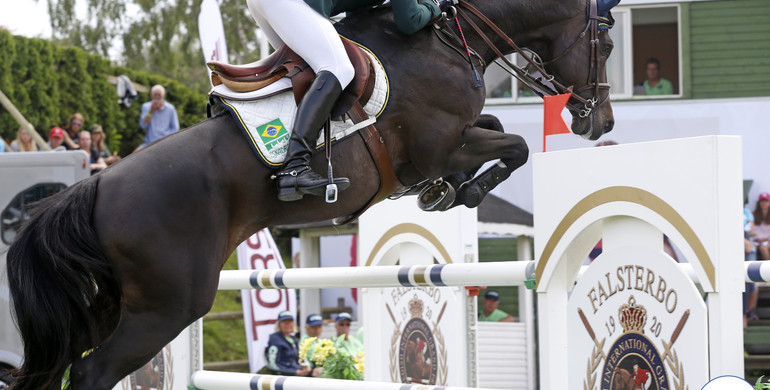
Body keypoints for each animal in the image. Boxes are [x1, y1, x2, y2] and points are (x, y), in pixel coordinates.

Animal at [6, 0, 616, 388]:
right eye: (609, 39)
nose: (601, 122)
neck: (444, 40)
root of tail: (97, 183)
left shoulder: (456, 138)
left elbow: (501, 131)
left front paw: (446, 193)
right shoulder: (440, 146)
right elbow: (516, 145)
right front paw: (458, 193)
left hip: (119, 301)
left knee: (63, 361)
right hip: (169, 305)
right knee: (91, 371)